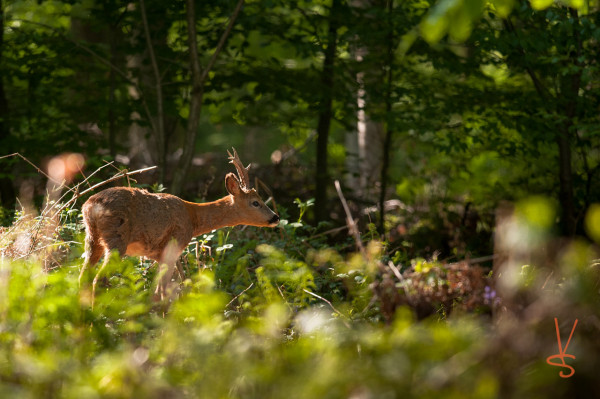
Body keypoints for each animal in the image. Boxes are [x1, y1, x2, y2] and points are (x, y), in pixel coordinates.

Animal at [79, 149, 282, 304]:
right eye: (255, 202)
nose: (275, 217)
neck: (192, 217)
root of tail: (91, 206)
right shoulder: (173, 246)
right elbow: (162, 292)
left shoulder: (158, 255)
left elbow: (157, 292)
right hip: (116, 239)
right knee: (98, 279)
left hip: (92, 239)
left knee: (83, 277)